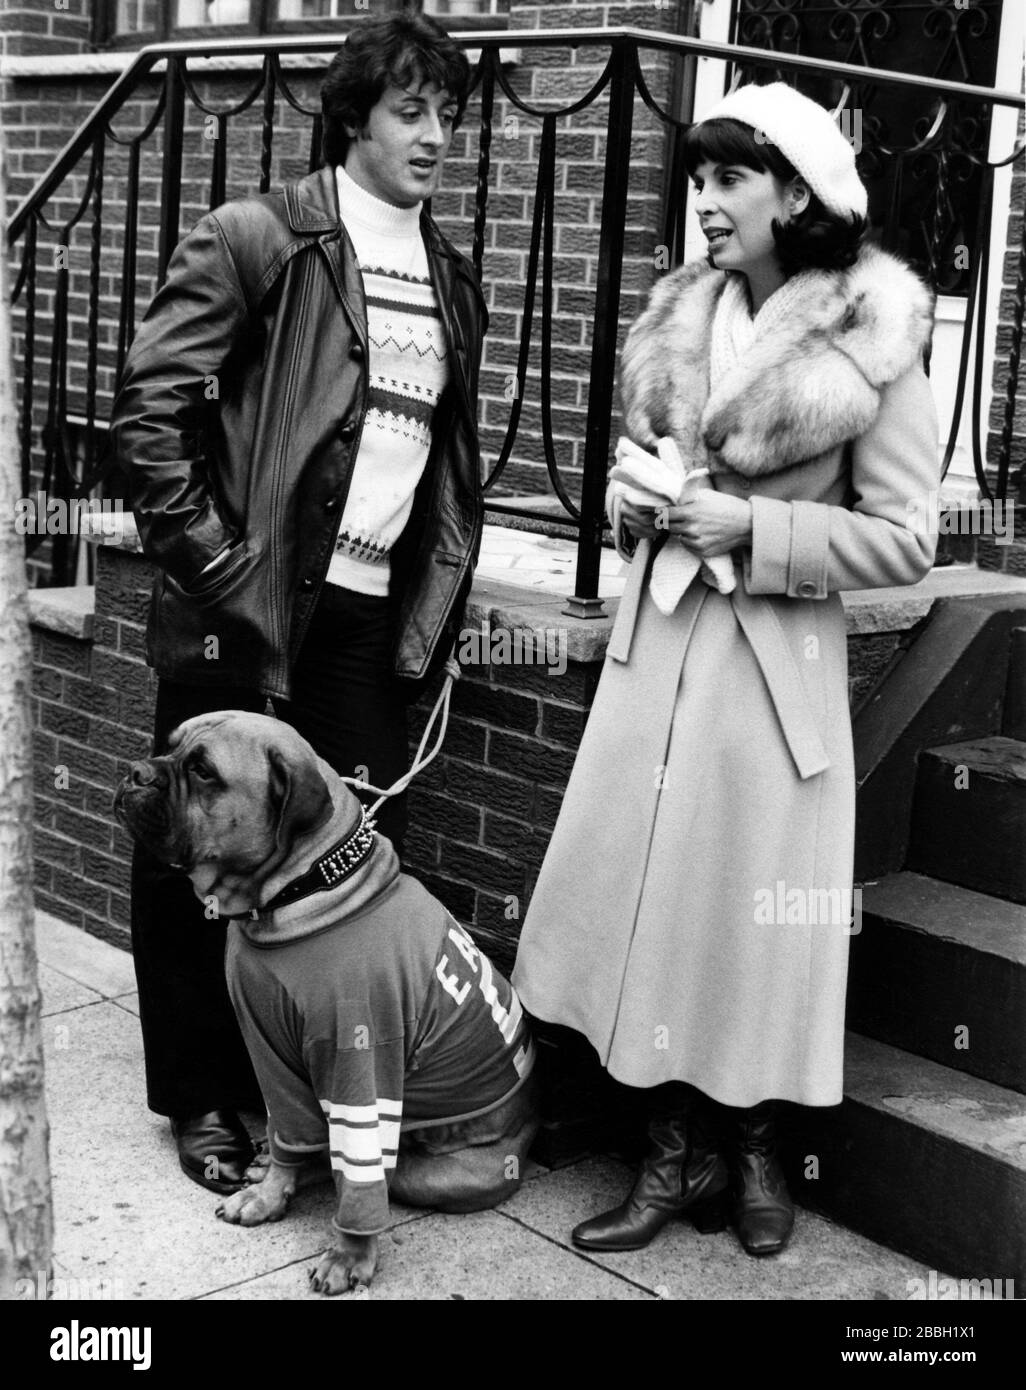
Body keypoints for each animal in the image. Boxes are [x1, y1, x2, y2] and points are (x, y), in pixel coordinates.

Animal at [114, 711, 536, 1295]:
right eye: (169, 746)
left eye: (203, 771)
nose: (134, 771)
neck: (300, 887)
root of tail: (528, 1132)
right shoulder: (270, 1053)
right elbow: (287, 1133)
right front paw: (269, 1194)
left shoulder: (361, 1064)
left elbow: (356, 1176)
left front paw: (348, 1257)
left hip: (439, 1174)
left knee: (375, 1175)